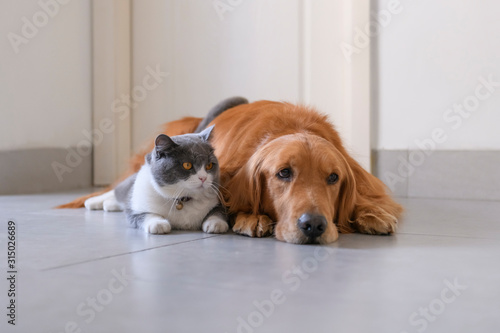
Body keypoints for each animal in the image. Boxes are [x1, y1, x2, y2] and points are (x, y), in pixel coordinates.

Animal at [84, 125, 229, 233]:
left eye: (209, 165)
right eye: (187, 165)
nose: (203, 178)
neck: (182, 199)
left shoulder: (218, 202)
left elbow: (218, 212)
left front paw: (216, 223)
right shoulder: (136, 209)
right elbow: (145, 214)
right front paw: (158, 224)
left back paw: (110, 204)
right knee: (116, 191)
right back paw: (93, 202)